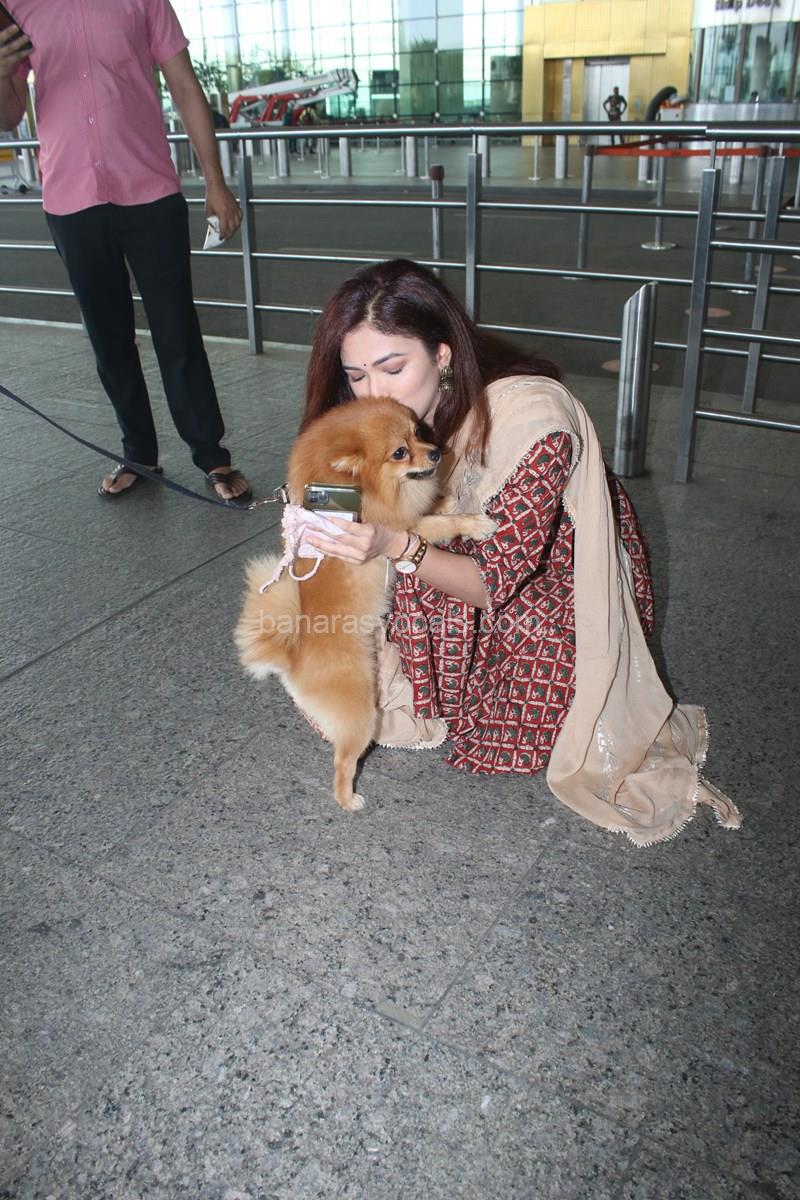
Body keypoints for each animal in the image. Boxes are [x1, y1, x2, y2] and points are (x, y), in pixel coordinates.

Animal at [234, 396, 495, 812]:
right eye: (399, 452)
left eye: (418, 432)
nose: (437, 453)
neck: (361, 488)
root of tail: (292, 658)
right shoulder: (398, 528)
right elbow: (437, 524)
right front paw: (474, 523)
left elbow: (431, 508)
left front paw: (448, 498)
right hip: (362, 713)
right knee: (344, 761)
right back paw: (348, 799)